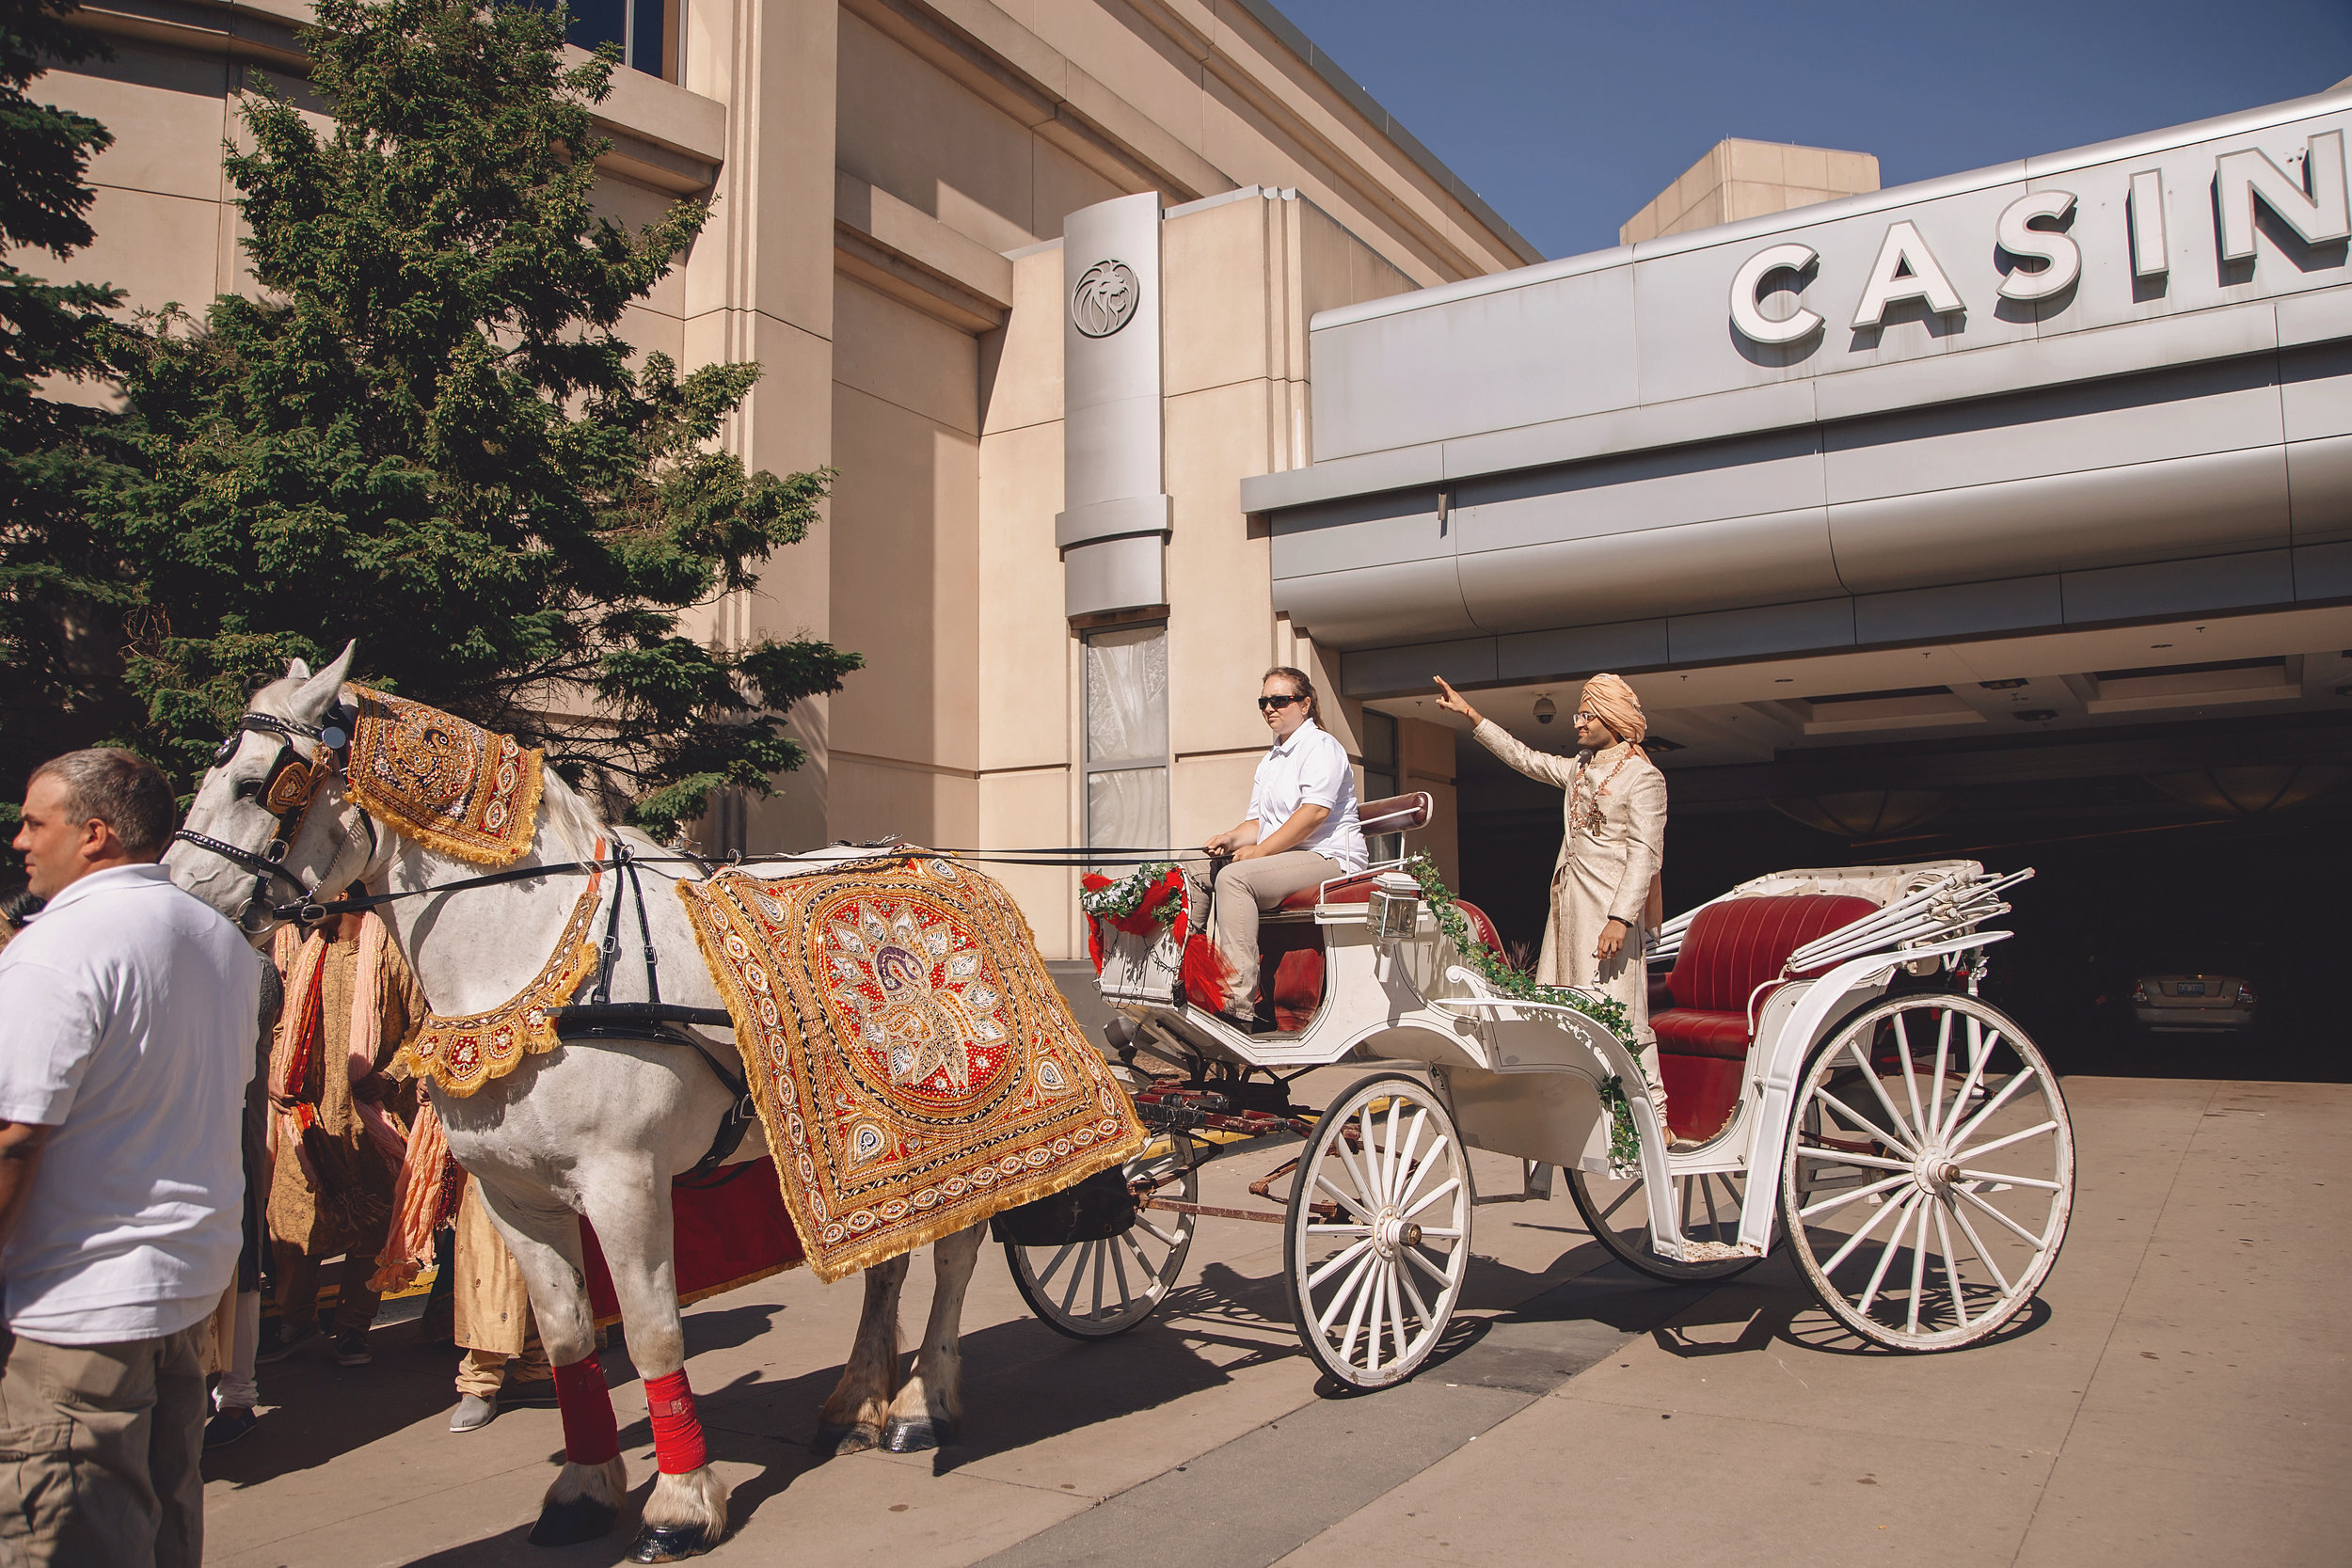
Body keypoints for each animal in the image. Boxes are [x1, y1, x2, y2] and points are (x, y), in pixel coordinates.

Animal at [167, 648, 983, 1560]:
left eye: (257, 782)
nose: (179, 891)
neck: (537, 962)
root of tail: (939, 857)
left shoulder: (625, 1183)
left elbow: (655, 1333)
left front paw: (681, 1504)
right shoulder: (514, 1195)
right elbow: (567, 1338)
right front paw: (585, 1490)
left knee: (956, 1254)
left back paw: (922, 1404)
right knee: (888, 1259)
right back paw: (854, 1404)